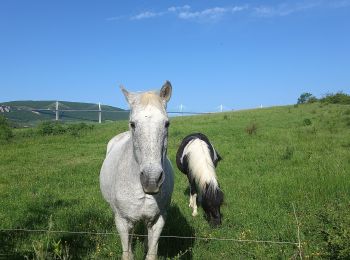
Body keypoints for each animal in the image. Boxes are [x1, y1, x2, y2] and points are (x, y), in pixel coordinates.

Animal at [100, 82, 174, 260]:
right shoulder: (122, 221)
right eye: (132, 124)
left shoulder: (158, 220)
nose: (151, 180)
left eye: (167, 123)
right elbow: (127, 253)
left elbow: (152, 253)